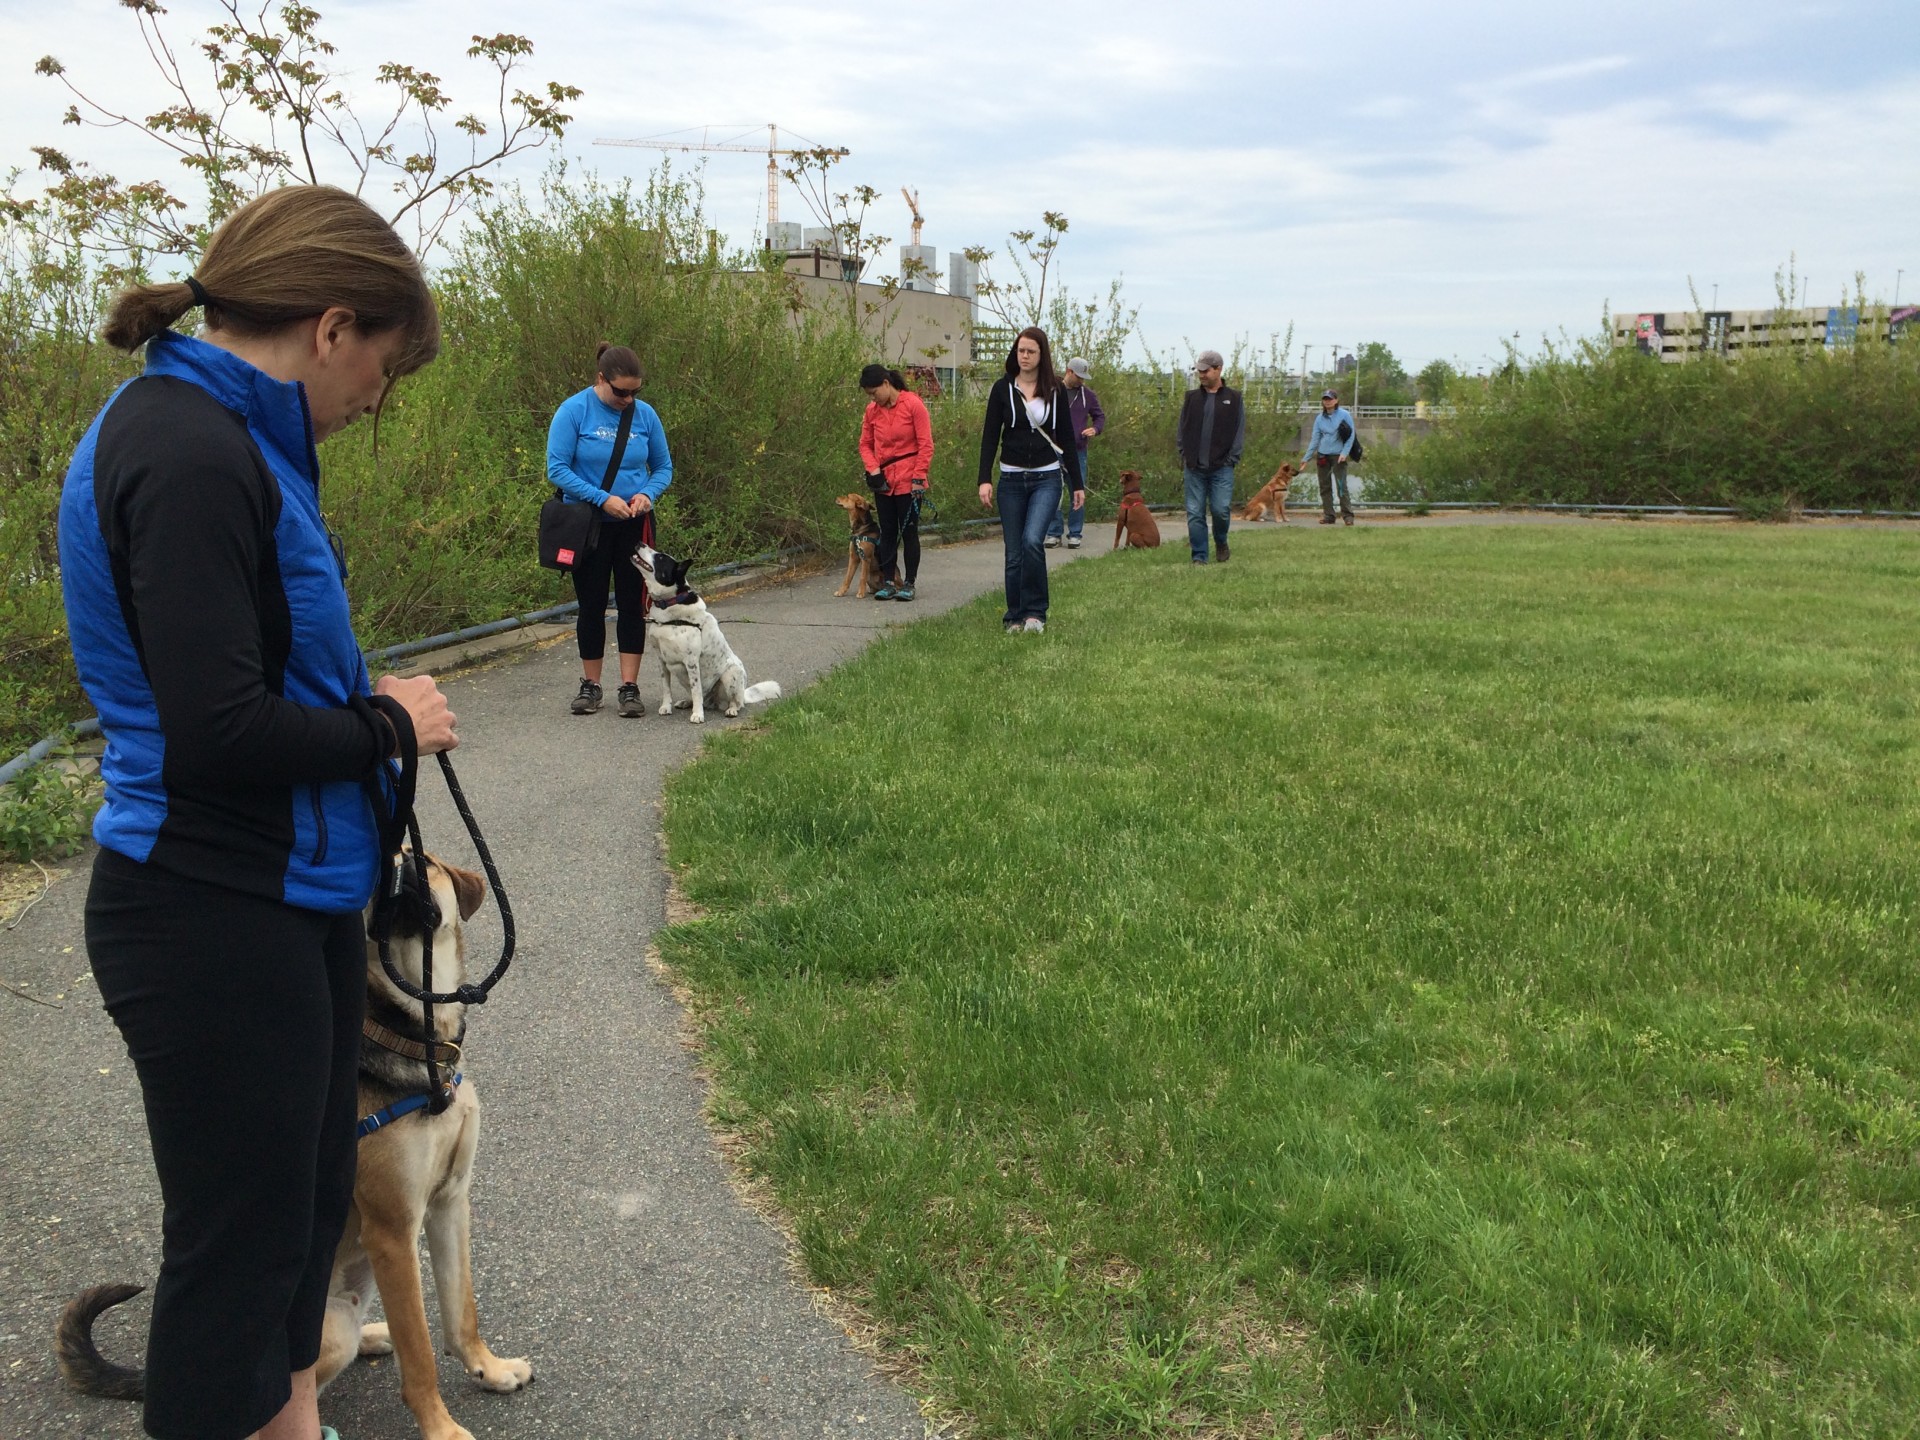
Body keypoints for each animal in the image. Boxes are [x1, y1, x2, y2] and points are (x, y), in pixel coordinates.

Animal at [629, 545, 779, 721]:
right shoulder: (662, 661)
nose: (639, 543)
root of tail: (744, 694)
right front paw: (666, 707)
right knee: (696, 696)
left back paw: (731, 709)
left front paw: (697, 715)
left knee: (735, 702)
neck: (670, 605)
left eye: (660, 557)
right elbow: (667, 688)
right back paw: (687, 702)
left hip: (731, 674)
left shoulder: (691, 661)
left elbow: (696, 691)